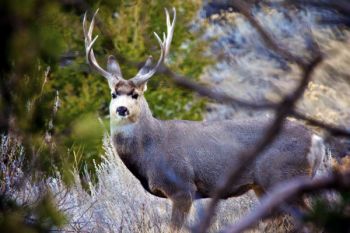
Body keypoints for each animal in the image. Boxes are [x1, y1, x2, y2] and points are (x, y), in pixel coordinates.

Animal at [82, 8, 326, 232]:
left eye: (135, 94)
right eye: (113, 93)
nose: (121, 109)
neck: (151, 149)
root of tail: (317, 140)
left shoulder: (182, 187)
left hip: (285, 177)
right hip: (266, 186)